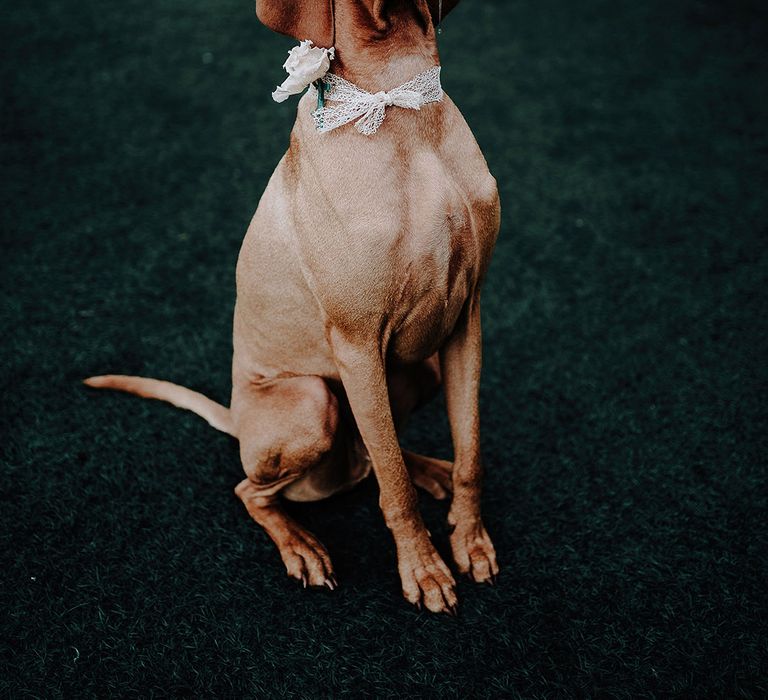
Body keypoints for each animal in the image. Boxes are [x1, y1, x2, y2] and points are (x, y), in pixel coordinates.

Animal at [87, 0, 500, 612]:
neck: (395, 97)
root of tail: (238, 421)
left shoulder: (465, 318)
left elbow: (468, 451)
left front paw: (469, 540)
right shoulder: (356, 344)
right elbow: (395, 490)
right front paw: (424, 569)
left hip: (416, 370)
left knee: (375, 457)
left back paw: (428, 470)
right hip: (311, 401)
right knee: (261, 488)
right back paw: (302, 547)